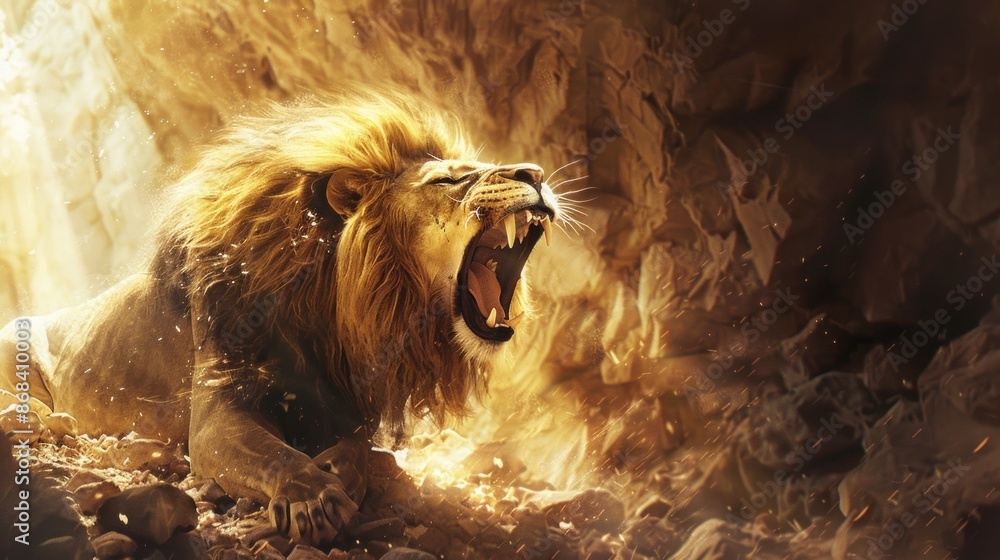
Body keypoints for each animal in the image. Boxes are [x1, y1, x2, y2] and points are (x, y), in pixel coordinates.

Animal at [0, 90, 562, 546]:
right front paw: (311, 495)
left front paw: (336, 468)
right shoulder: (218, 411)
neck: (334, 304)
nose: (534, 173)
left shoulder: (342, 404)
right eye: (448, 178)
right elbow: (274, 455)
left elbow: (357, 448)